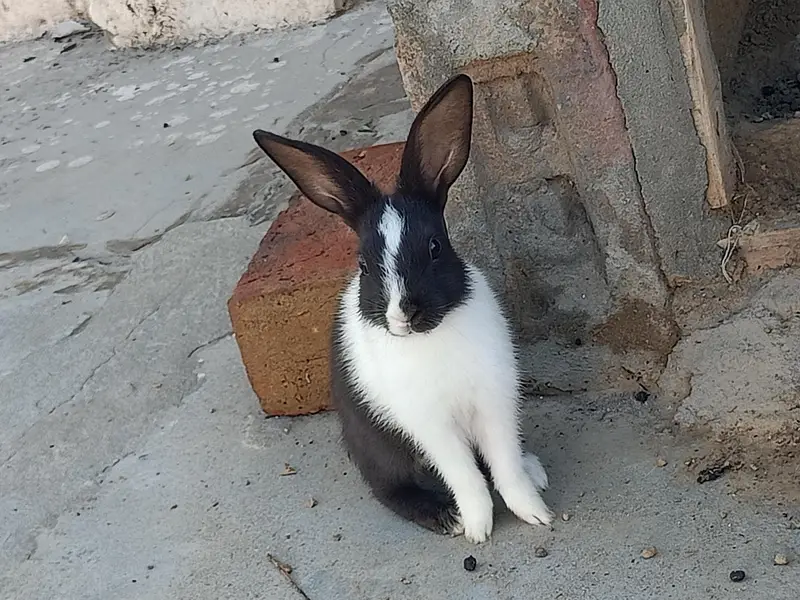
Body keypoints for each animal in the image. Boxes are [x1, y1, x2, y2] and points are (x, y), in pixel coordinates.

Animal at [252, 73, 554, 543]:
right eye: (362, 265)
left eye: (435, 247)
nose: (404, 314)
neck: (432, 336)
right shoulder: (431, 426)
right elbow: (466, 477)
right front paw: (476, 528)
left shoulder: (495, 402)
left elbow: (503, 466)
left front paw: (535, 513)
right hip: (380, 448)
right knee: (390, 490)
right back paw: (442, 516)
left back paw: (533, 470)